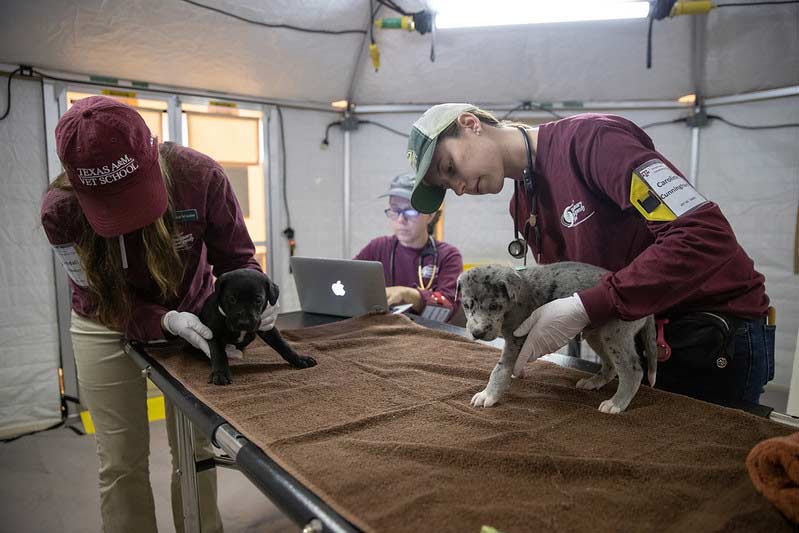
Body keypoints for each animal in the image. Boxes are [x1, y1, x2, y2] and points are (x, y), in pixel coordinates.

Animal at [460, 260, 660, 412]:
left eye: (493, 306)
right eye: (466, 305)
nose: (477, 333)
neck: (514, 302)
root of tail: (648, 306)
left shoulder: (516, 339)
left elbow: (500, 368)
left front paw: (488, 394)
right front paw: (518, 372)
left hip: (615, 335)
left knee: (633, 370)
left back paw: (616, 404)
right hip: (597, 335)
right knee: (610, 366)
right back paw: (593, 382)